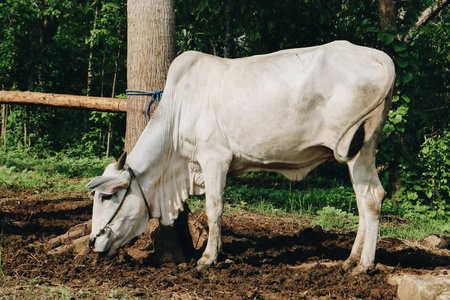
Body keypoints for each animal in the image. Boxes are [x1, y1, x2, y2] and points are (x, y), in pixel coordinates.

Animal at [87, 41, 394, 276]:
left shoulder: (214, 159)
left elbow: (214, 209)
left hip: (359, 149)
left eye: (107, 196)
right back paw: (350, 260)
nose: (92, 243)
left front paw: (208, 258)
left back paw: (364, 265)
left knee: (371, 198)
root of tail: (376, 55)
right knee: (362, 200)